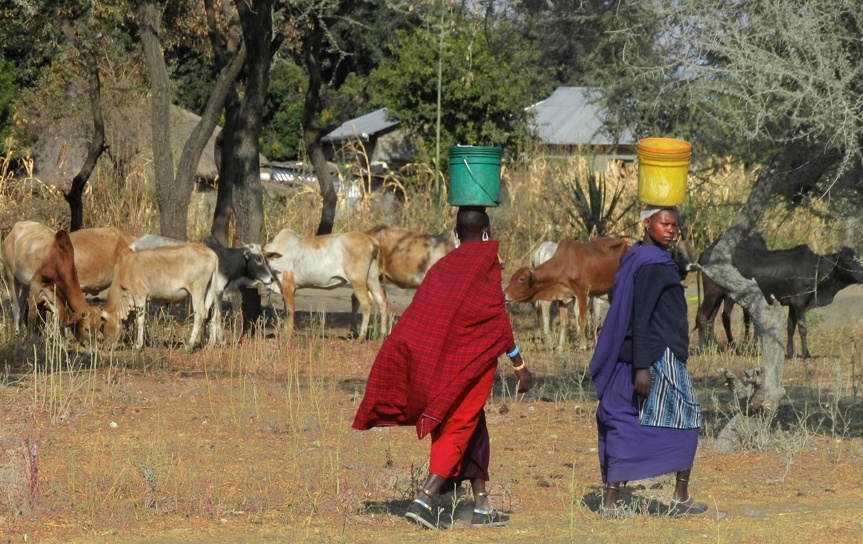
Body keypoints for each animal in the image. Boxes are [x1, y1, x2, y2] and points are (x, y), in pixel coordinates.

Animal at [260, 228, 388, 340]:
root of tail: (371, 241)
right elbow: (286, 309)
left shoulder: (288, 284)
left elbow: (290, 310)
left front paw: (287, 335)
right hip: (372, 278)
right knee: (381, 301)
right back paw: (382, 335)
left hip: (357, 281)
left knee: (366, 302)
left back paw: (361, 337)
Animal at [502, 237, 632, 348]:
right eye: (512, 278)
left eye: (522, 279)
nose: (505, 294)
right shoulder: (563, 296)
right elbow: (564, 322)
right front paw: (560, 346)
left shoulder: (582, 293)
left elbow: (582, 319)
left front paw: (583, 345)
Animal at [696, 236, 863, 360]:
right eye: (848, 259)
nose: (861, 275)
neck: (814, 269)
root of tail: (705, 253)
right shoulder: (799, 303)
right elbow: (802, 328)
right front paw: (806, 354)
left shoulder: (793, 304)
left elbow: (790, 327)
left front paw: (790, 353)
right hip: (713, 293)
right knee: (703, 315)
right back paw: (703, 349)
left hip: (720, 296)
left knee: (711, 319)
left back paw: (714, 346)